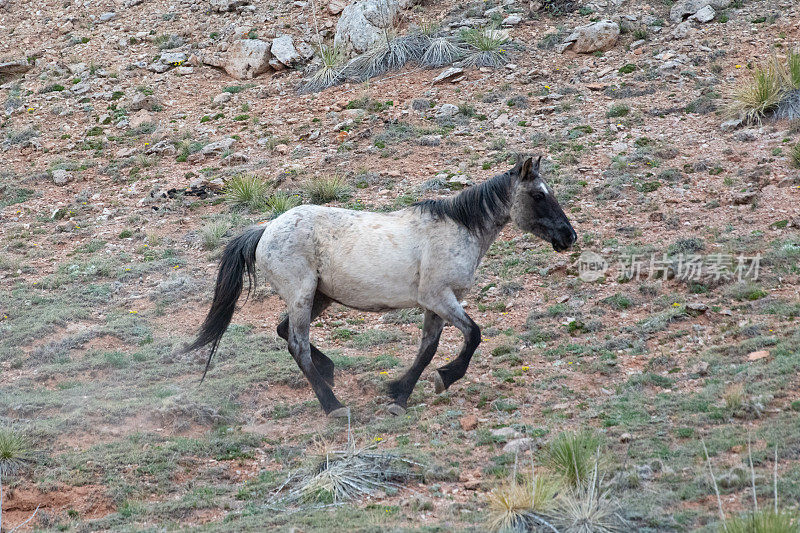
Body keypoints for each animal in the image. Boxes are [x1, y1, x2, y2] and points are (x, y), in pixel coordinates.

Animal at [188, 156, 576, 418]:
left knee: (285, 332)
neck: (459, 229)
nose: (569, 236)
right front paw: (445, 378)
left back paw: (329, 374)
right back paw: (333, 405)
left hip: (319, 296)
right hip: (302, 295)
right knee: (297, 344)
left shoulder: (434, 305)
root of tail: (265, 230)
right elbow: (473, 335)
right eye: (538, 195)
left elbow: (428, 348)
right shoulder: (439, 297)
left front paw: (399, 395)